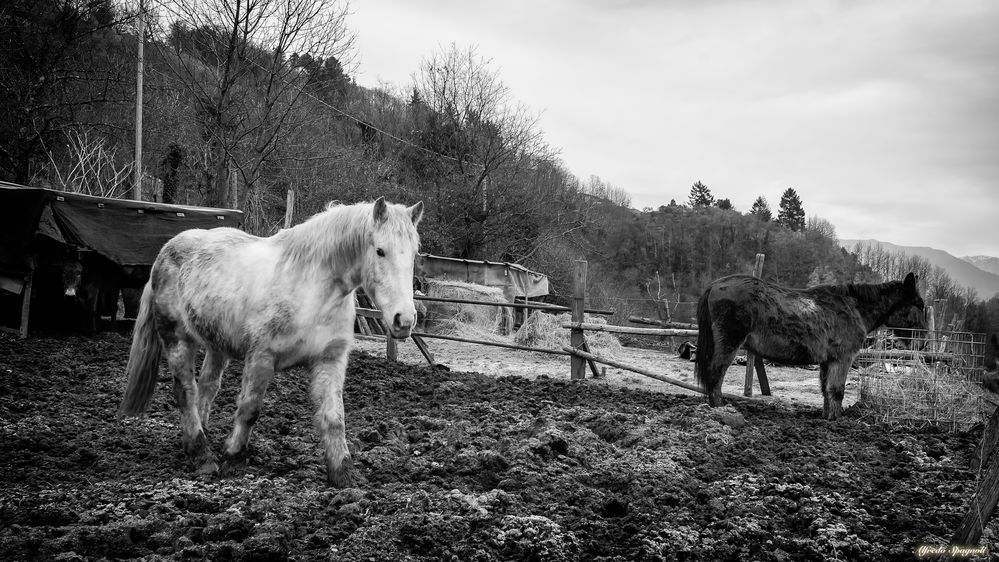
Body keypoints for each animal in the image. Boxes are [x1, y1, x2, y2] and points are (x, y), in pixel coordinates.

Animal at [117, 195, 422, 484]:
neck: (311, 289)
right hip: (177, 338)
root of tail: (166, 251)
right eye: (380, 251)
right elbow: (249, 409)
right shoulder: (261, 357)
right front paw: (233, 460)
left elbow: (334, 418)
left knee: (207, 388)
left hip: (217, 346)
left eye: (414, 254)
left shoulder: (330, 360)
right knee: (186, 392)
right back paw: (202, 455)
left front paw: (344, 475)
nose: (404, 320)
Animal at [696, 272, 920, 416]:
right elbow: (837, 390)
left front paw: (827, 418)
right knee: (716, 374)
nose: (922, 344)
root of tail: (715, 285)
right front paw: (836, 421)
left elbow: (826, 391)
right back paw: (720, 409)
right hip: (728, 344)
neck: (853, 308)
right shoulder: (843, 359)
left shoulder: (827, 361)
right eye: (919, 306)